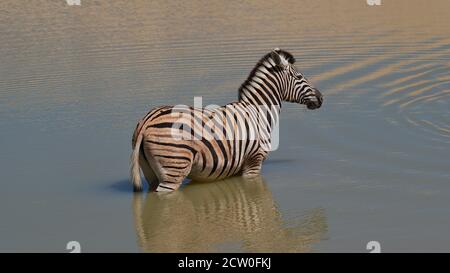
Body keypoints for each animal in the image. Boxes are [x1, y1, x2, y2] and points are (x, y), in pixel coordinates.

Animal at [130, 47, 324, 191]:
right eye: (299, 77)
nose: (321, 98)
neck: (258, 112)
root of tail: (146, 121)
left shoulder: (239, 166)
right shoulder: (254, 161)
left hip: (150, 172)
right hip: (174, 168)